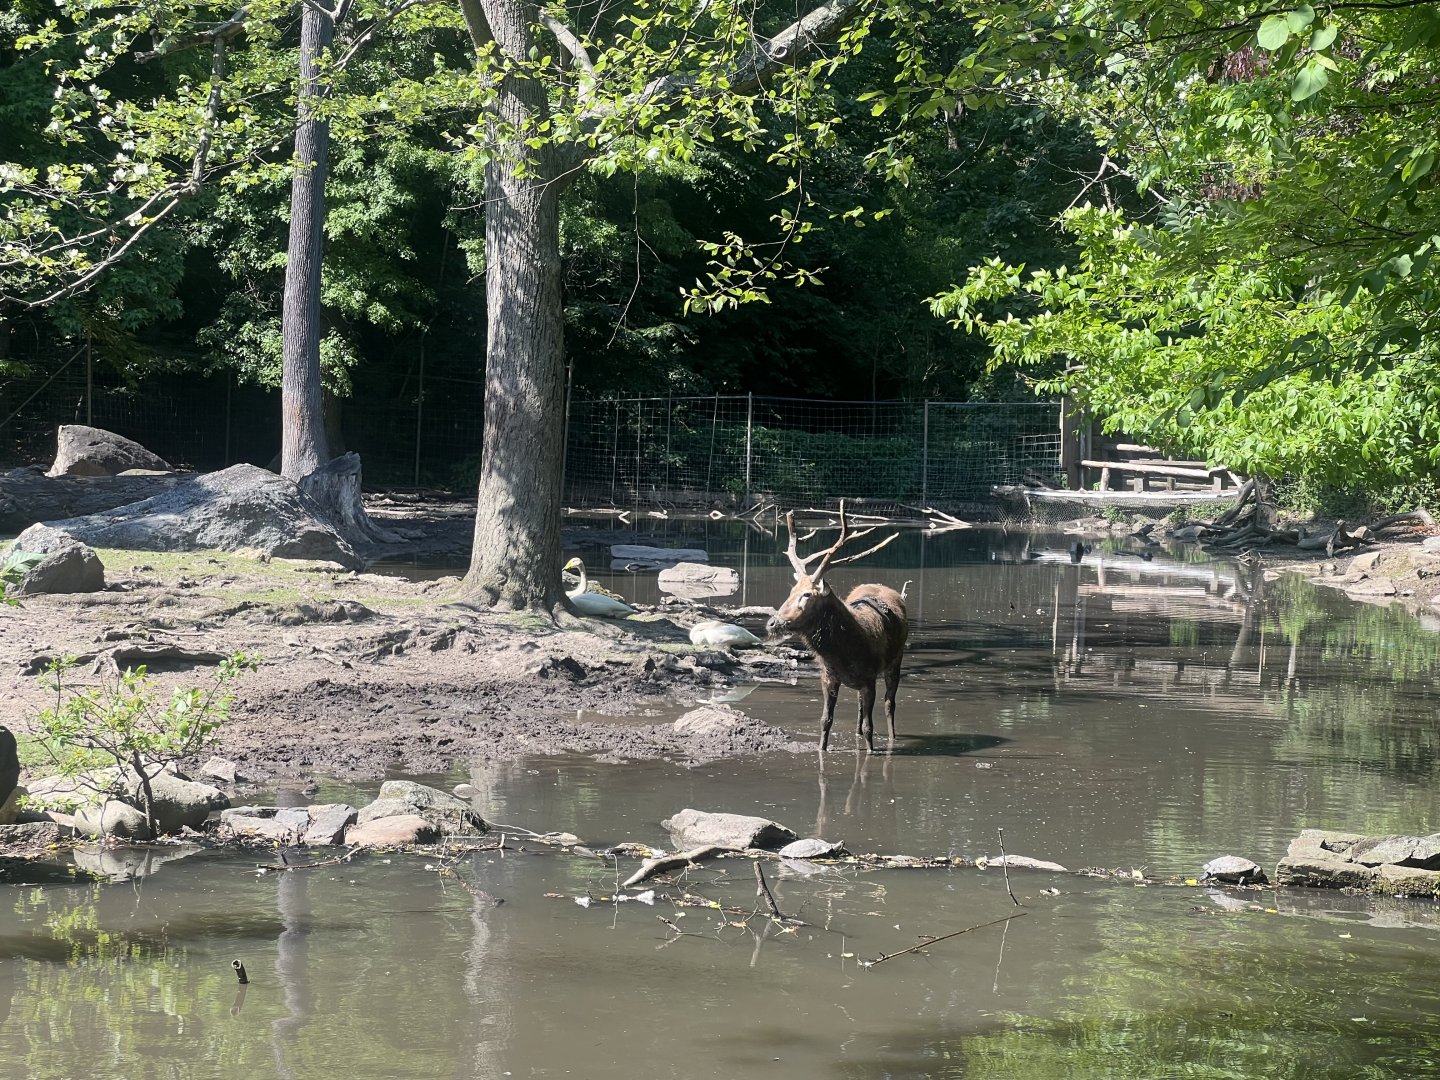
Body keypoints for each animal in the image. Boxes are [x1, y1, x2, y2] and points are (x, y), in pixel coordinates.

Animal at [766, 502, 909, 752]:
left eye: (807, 595)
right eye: (791, 591)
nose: (773, 622)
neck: (845, 653)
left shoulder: (870, 677)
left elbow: (870, 727)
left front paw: (871, 751)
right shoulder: (829, 676)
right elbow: (826, 720)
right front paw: (821, 749)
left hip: (896, 660)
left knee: (889, 703)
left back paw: (893, 737)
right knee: (860, 708)